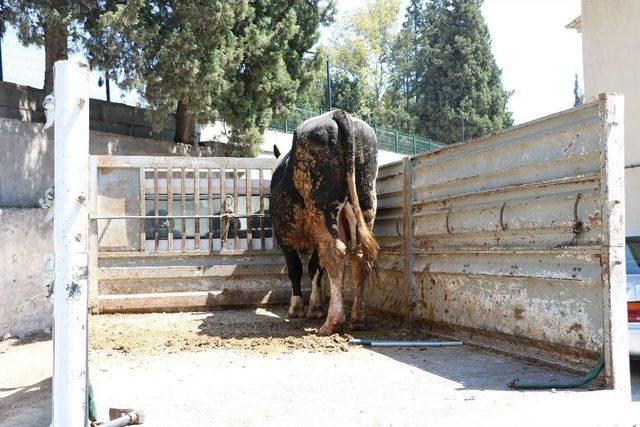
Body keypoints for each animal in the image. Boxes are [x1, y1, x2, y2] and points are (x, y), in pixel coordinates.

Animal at [272, 108, 380, 336]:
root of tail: (337, 114)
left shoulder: (284, 237)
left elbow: (296, 268)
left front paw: (297, 307)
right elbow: (315, 268)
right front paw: (315, 307)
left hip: (322, 209)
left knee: (334, 253)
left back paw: (333, 321)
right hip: (366, 203)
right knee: (358, 257)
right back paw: (357, 319)